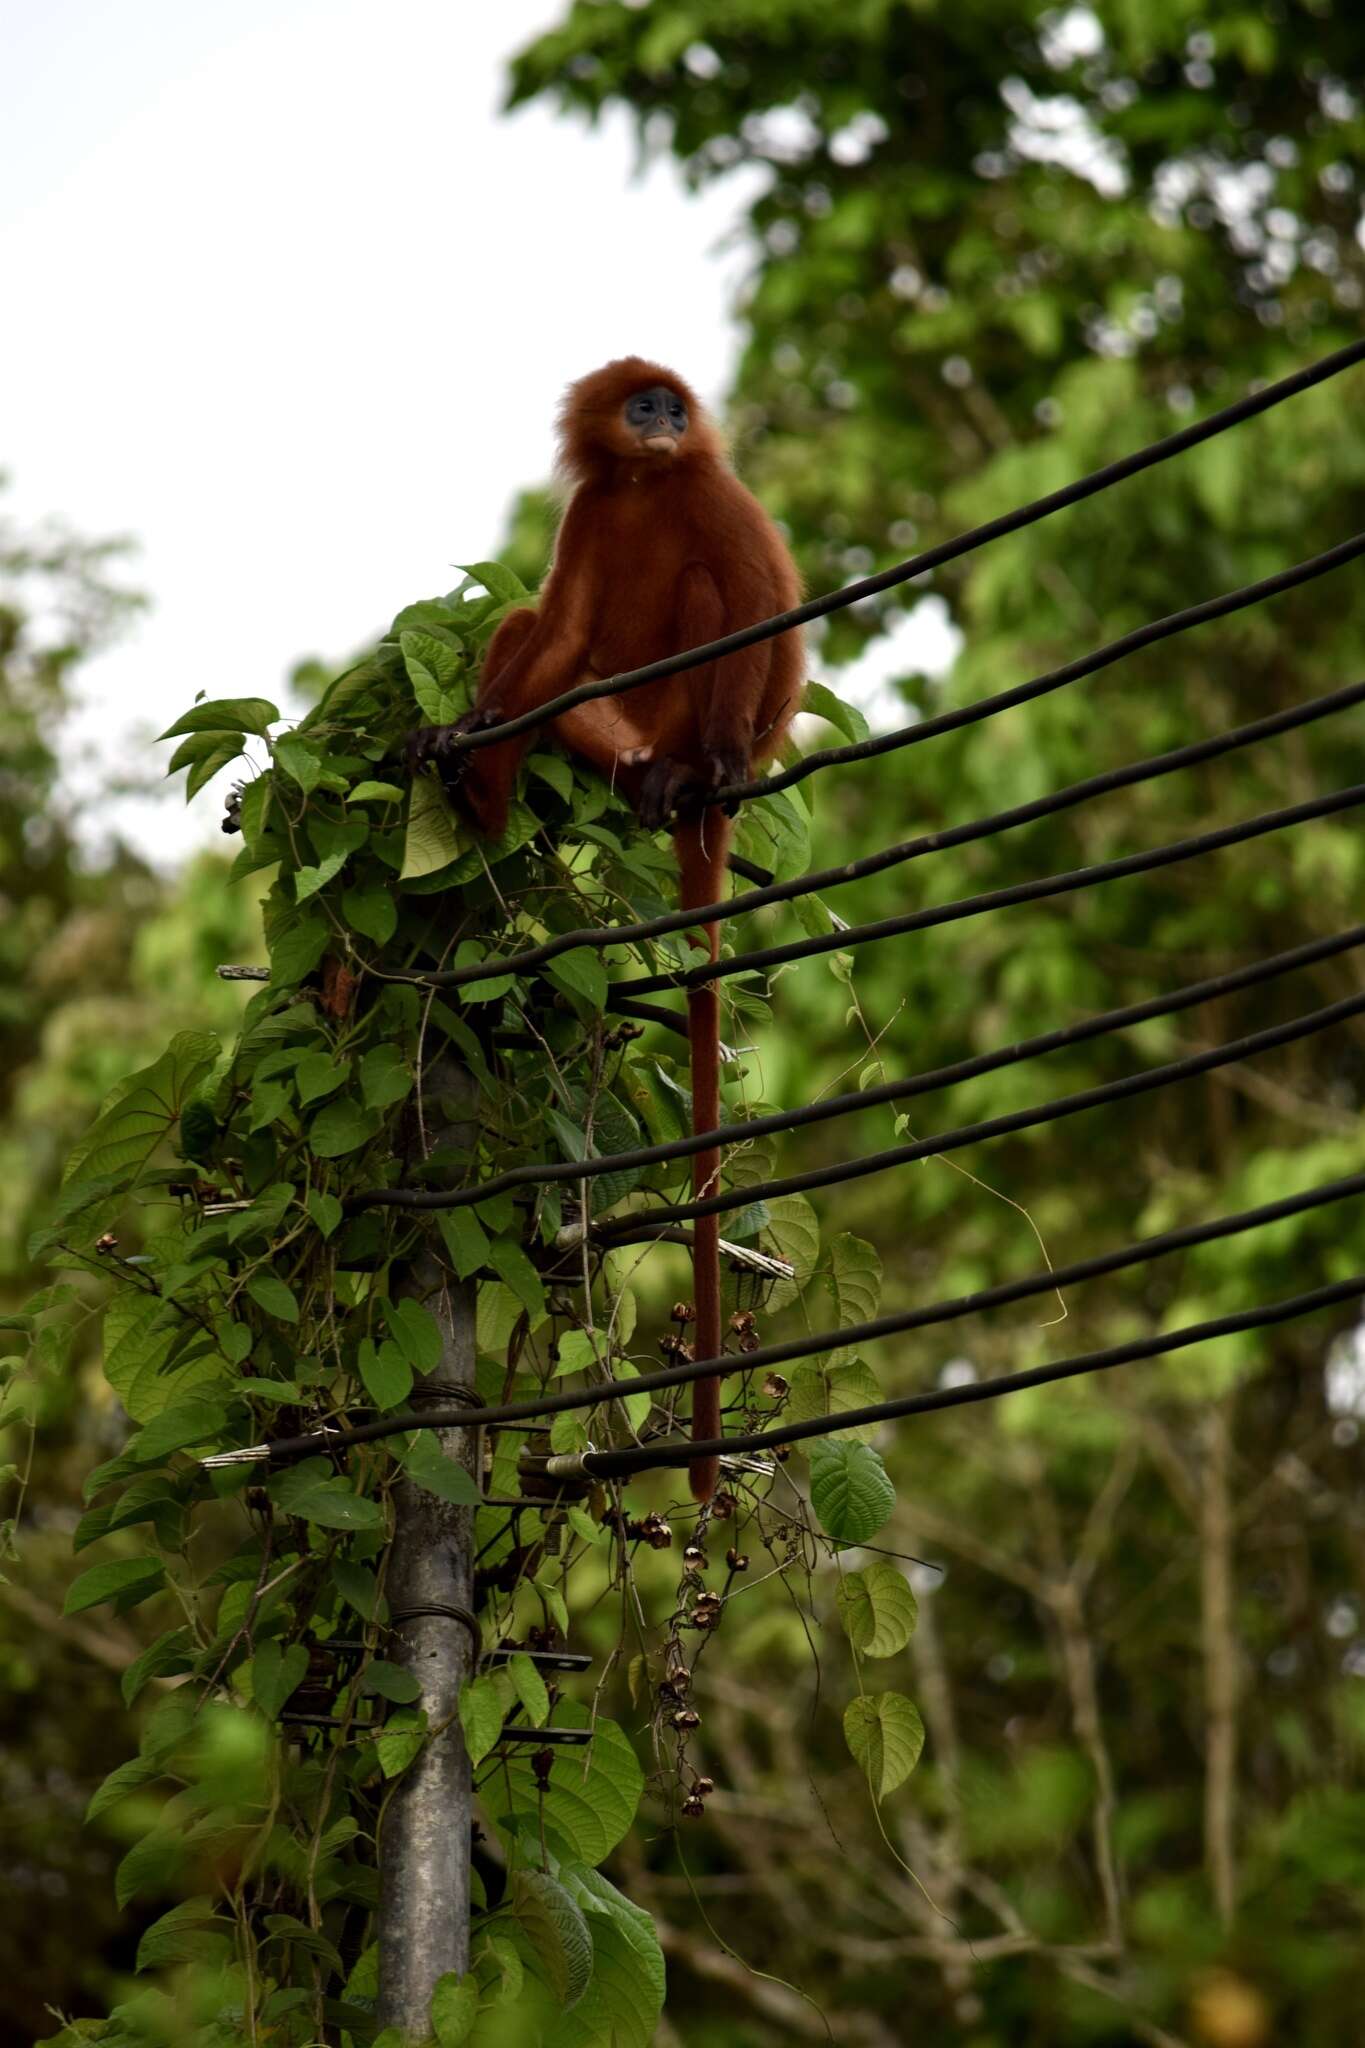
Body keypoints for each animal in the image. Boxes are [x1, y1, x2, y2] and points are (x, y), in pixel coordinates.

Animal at [411, 356, 806, 1507]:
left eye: (673, 409)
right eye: (643, 407)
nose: (665, 420)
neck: (645, 483)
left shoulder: (708, 490)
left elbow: (761, 605)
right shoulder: (596, 506)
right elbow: (558, 628)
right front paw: (460, 733)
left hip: (681, 708)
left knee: (718, 599)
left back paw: (696, 773)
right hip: (605, 721)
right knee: (534, 640)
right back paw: (485, 783)